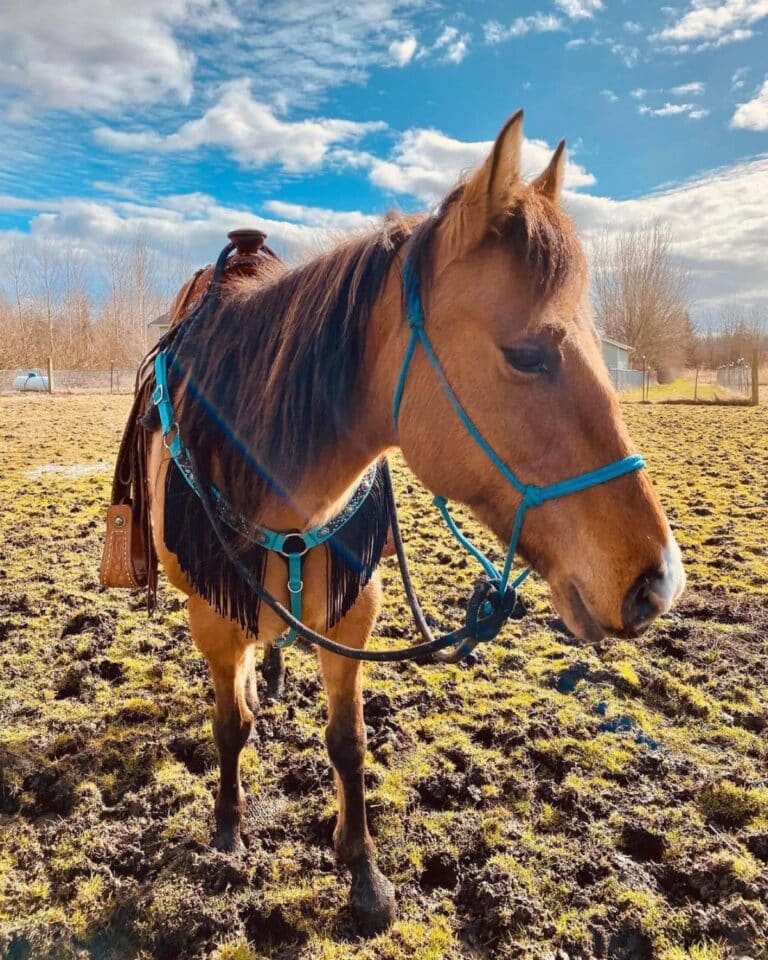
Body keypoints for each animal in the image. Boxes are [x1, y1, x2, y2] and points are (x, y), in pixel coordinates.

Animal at [142, 111, 685, 933]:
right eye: (526, 354)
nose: (657, 582)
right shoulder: (212, 613)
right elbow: (229, 726)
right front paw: (230, 830)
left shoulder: (352, 612)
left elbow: (348, 742)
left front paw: (363, 873)